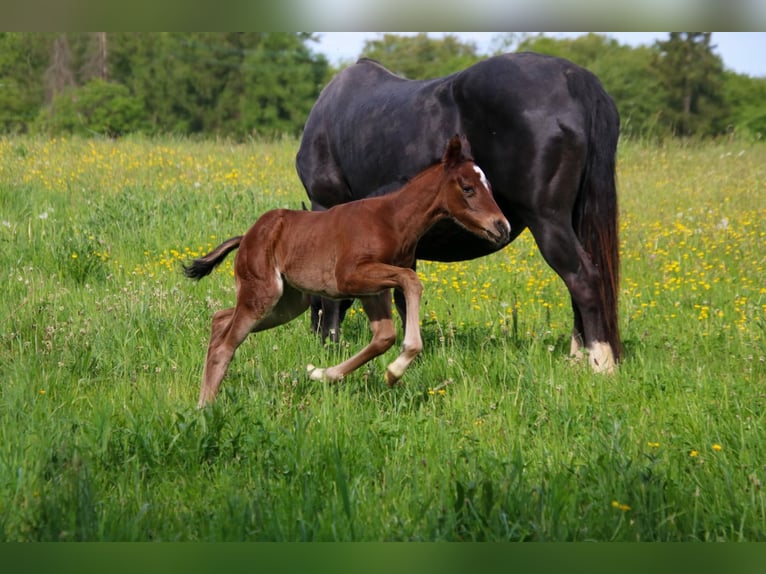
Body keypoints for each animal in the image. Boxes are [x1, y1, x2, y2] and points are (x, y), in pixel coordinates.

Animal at [184, 135, 510, 406]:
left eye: (490, 187)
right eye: (468, 188)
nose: (501, 227)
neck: (393, 221)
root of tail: (247, 236)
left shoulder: (373, 290)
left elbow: (384, 336)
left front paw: (322, 373)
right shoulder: (350, 277)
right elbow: (411, 281)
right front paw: (398, 366)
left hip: (286, 304)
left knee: (220, 319)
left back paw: (204, 398)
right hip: (264, 295)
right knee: (227, 342)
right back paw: (204, 408)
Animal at [296, 52, 621, 373]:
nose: (314, 332)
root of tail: (573, 77)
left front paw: (332, 346)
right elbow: (403, 296)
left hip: (548, 221)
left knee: (583, 278)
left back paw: (600, 362)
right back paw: (579, 357)